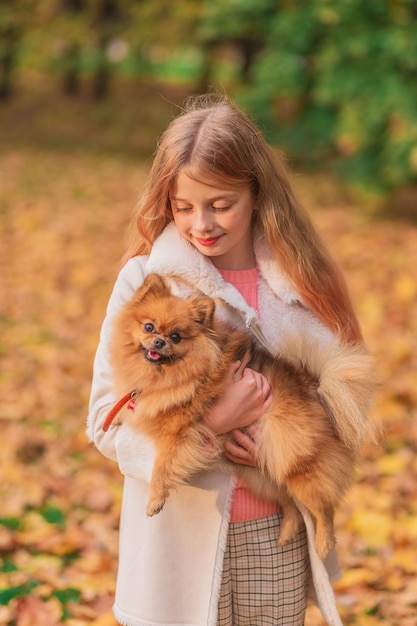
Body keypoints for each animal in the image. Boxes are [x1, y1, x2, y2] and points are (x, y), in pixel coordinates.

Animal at [106, 272, 374, 556]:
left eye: (176, 337)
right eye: (149, 327)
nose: (159, 341)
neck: (169, 376)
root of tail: (315, 387)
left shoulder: (178, 434)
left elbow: (160, 468)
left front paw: (155, 500)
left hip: (297, 466)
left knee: (324, 507)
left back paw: (324, 542)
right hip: (265, 470)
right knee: (289, 502)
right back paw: (287, 532)